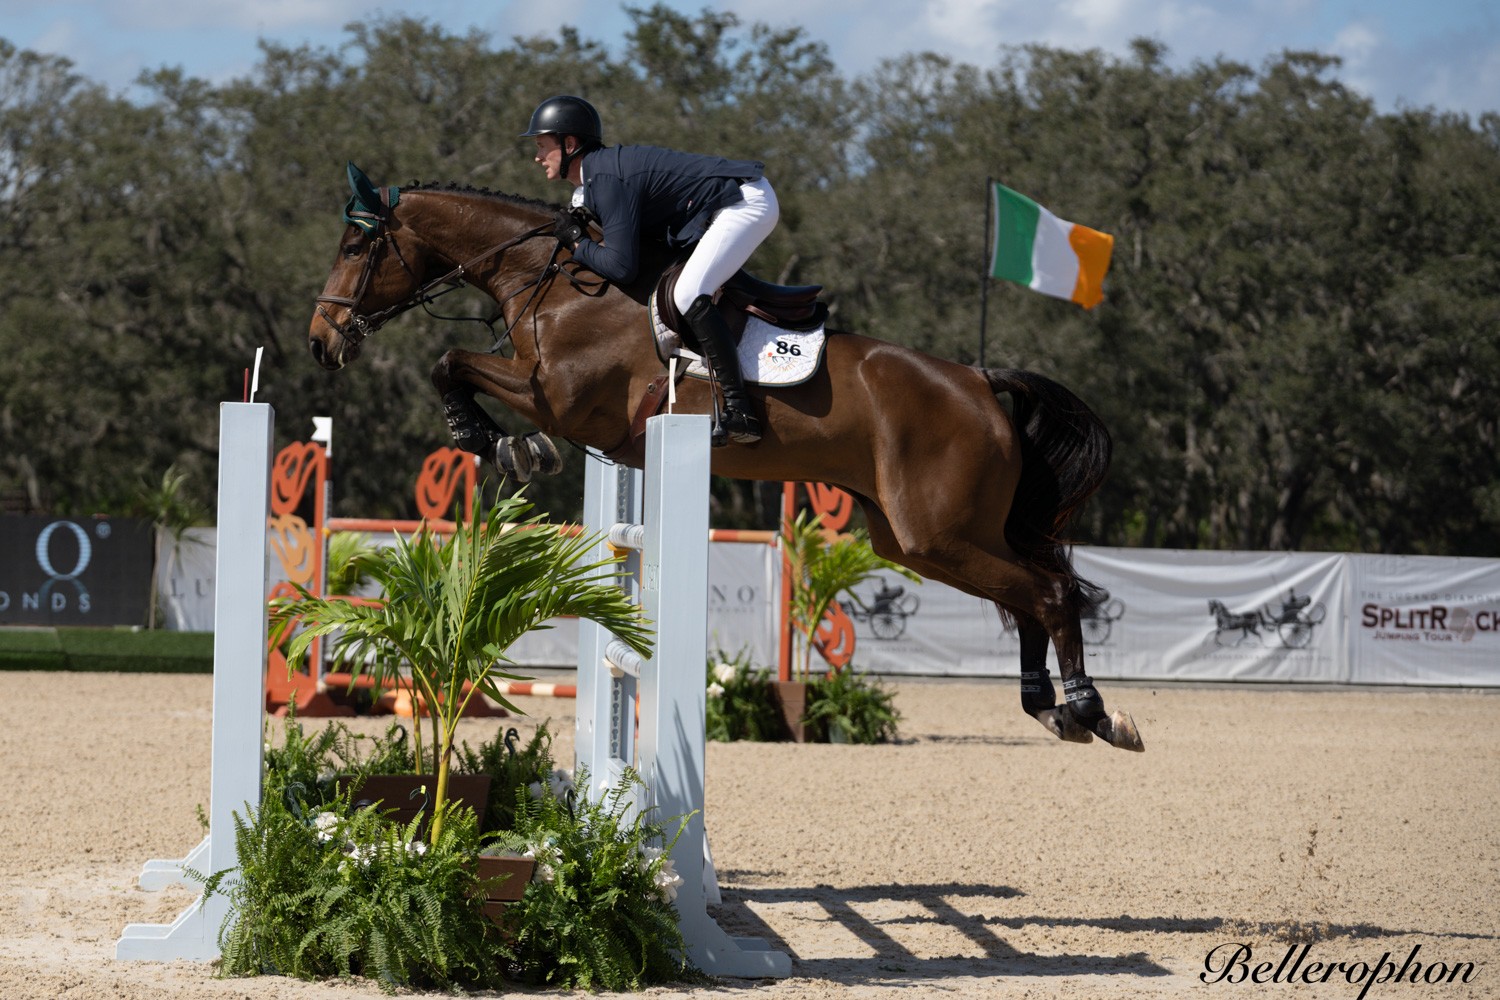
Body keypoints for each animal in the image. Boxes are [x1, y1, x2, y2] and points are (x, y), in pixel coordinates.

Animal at [309, 164, 1143, 752]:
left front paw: (501, 442)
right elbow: (454, 363)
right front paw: (499, 443)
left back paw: (1093, 711)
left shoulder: (562, 398)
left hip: (939, 533)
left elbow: (451, 361)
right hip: (916, 539)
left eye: (356, 246)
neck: (551, 280)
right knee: (1030, 596)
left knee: (1050, 594)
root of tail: (978, 381)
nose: (322, 341)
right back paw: (1050, 707)